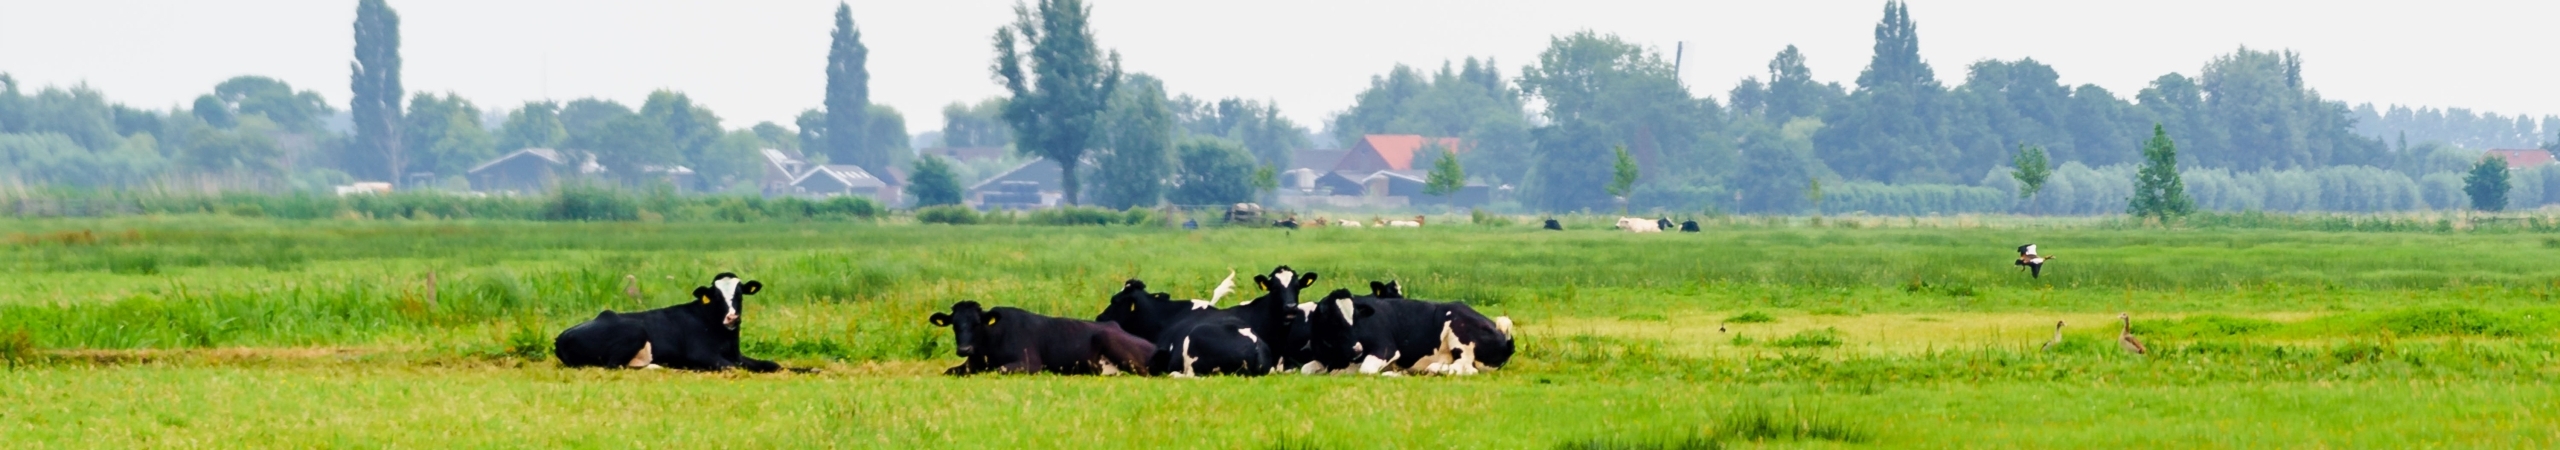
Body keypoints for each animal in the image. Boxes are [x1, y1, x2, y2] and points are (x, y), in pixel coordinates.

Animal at [553, 273, 782, 372]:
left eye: (740, 294)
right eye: (716, 296)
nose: (732, 317)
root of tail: (561, 337)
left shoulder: (736, 355)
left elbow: (773, 364)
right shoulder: (700, 353)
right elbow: (733, 368)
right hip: (634, 331)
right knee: (615, 365)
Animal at [929, 300, 1155, 376]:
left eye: (977, 323)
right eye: (954, 324)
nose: (964, 350)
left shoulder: (1031, 362)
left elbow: (1001, 369)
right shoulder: (971, 363)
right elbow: (949, 371)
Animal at [1304, 282, 1516, 376]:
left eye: (1356, 317)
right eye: (1334, 320)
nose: (1357, 349)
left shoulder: (1386, 347)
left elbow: (1366, 369)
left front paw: (1393, 373)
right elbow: (1306, 369)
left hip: (1461, 335)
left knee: (1465, 368)